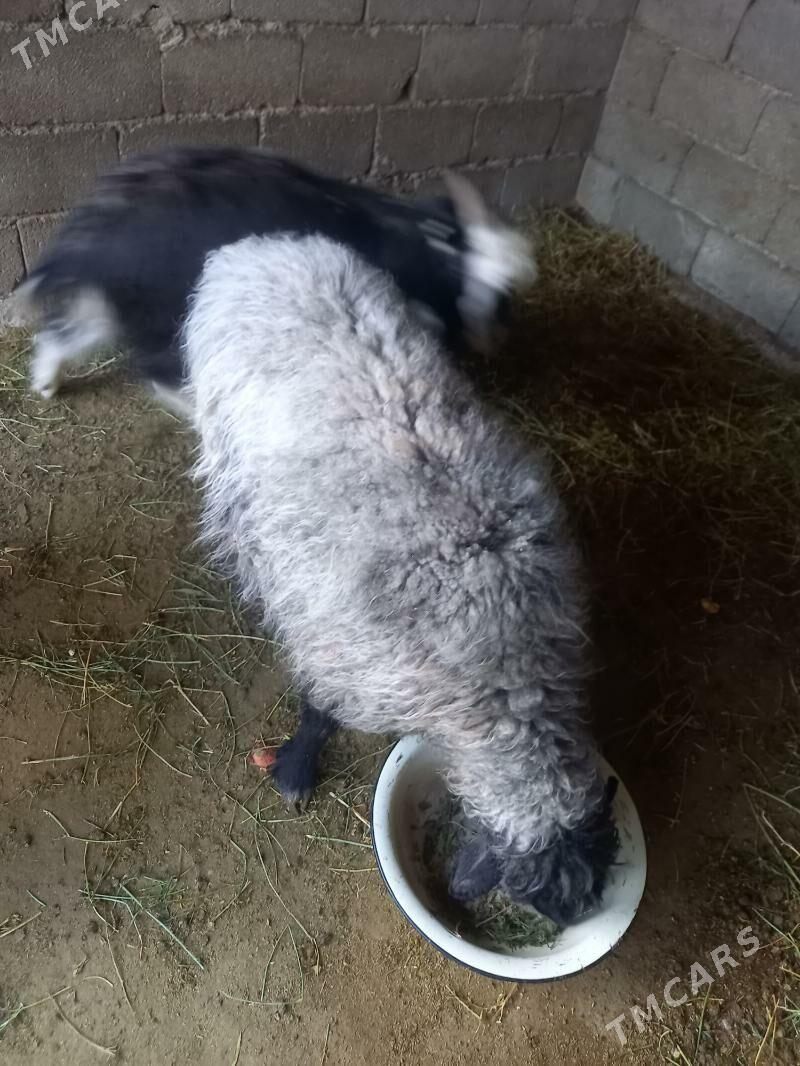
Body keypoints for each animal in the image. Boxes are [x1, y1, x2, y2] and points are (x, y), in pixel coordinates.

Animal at [18, 147, 535, 413]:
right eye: (499, 297)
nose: (499, 339)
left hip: (117, 304)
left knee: (65, 334)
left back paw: (45, 386)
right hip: (165, 313)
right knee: (153, 372)